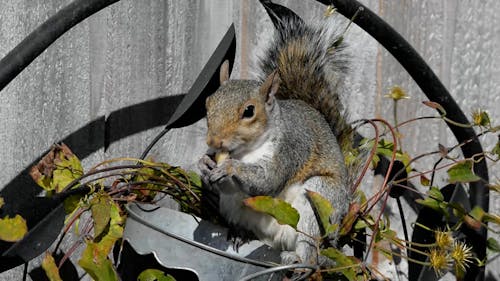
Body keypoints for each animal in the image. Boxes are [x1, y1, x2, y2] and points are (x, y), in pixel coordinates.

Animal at [197, 12, 354, 264]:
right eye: (207, 103)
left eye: (249, 111)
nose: (213, 142)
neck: (246, 151)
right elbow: (229, 186)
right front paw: (204, 163)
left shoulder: (291, 148)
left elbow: (268, 180)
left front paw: (231, 167)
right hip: (234, 209)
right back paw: (241, 234)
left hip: (319, 200)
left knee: (310, 247)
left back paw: (300, 261)